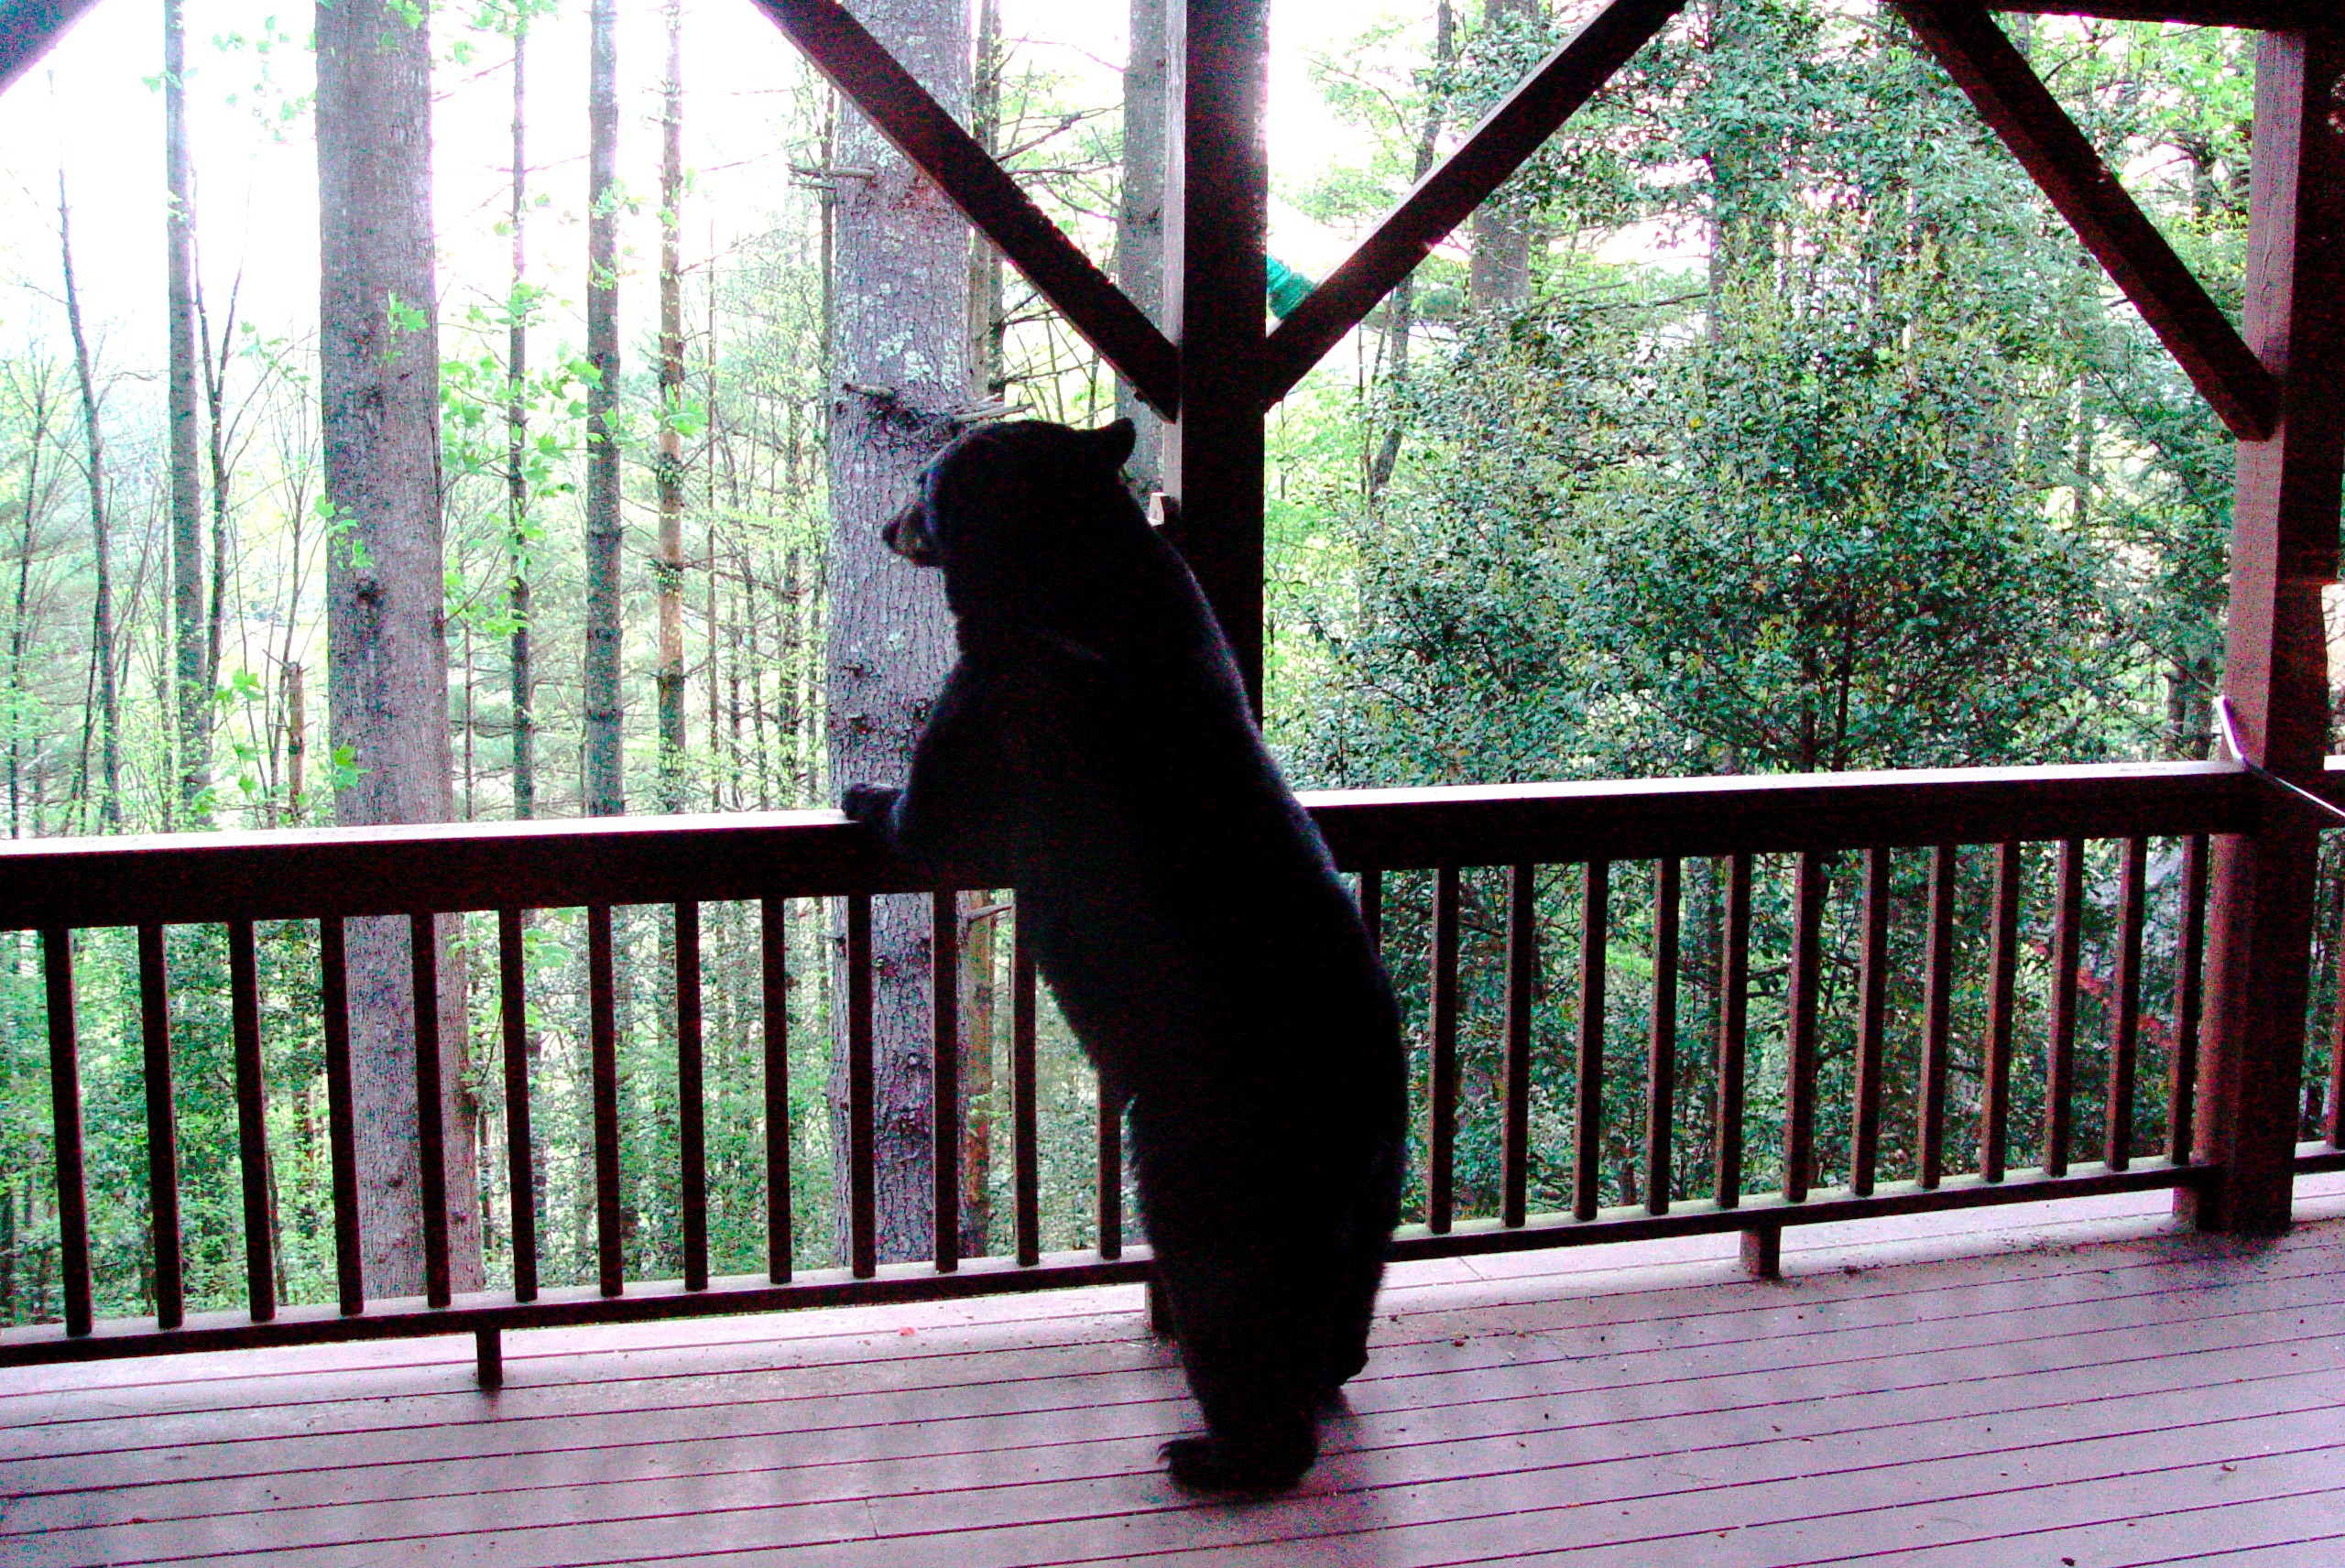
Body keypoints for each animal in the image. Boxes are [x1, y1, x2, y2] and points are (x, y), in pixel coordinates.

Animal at [839, 412, 1397, 1481]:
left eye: (923, 482)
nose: (887, 525)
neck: (1074, 578)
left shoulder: (1000, 690)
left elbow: (942, 825)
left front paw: (866, 792)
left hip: (1207, 1146)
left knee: (1229, 1285)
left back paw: (1229, 1452)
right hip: (1380, 1163)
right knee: (1356, 1277)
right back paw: (1334, 1364)